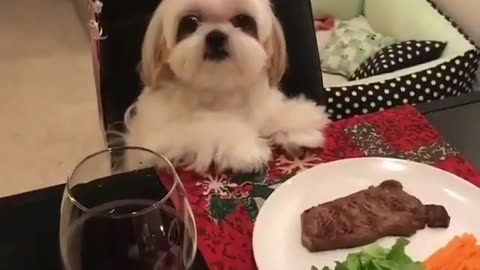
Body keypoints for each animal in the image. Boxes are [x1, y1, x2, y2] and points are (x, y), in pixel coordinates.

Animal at [124, 0, 330, 173]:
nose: (216, 35)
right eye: (189, 22)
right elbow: (211, 127)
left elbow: (271, 114)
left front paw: (298, 127)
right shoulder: (159, 140)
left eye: (244, 21)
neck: (219, 91)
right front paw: (245, 149)